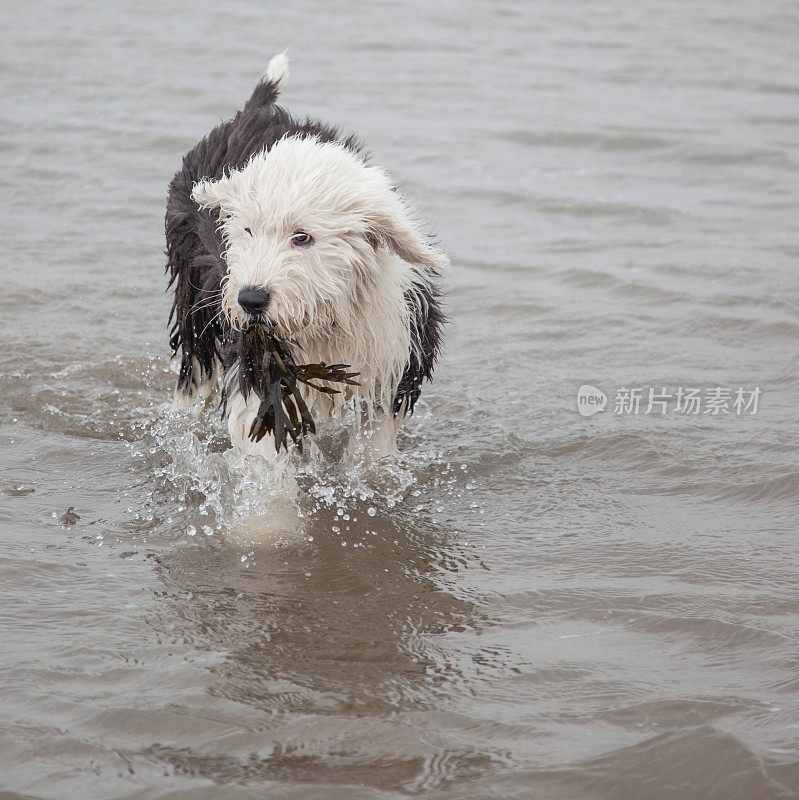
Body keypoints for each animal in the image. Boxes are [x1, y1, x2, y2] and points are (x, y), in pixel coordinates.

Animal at [165, 53, 446, 460]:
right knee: (196, 366)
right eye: (247, 231)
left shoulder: (392, 360)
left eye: (302, 237)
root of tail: (253, 113)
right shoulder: (258, 362)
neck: (327, 316)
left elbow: (374, 447)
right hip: (196, 291)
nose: (251, 299)